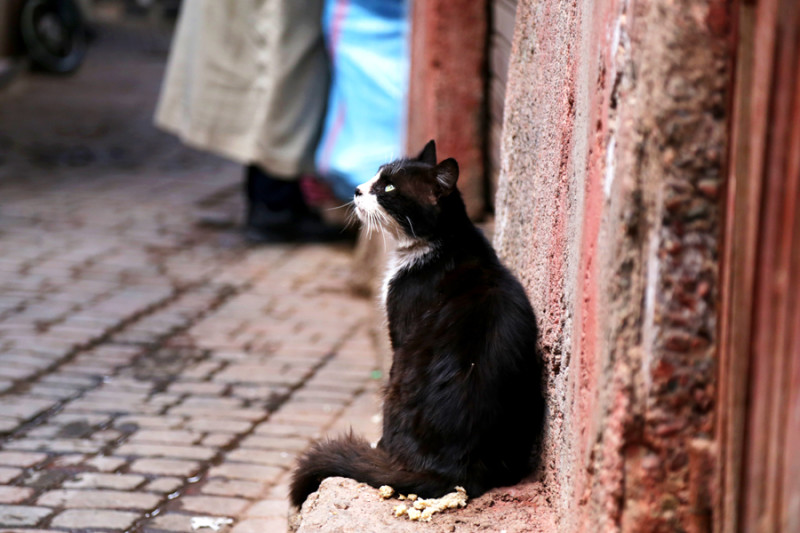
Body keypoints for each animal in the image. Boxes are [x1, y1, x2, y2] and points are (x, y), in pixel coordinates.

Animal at [288, 139, 544, 504]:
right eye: (376, 175)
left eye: (389, 188)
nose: (357, 189)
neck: (440, 244)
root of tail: (454, 472)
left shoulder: (400, 328)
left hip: (399, 379)